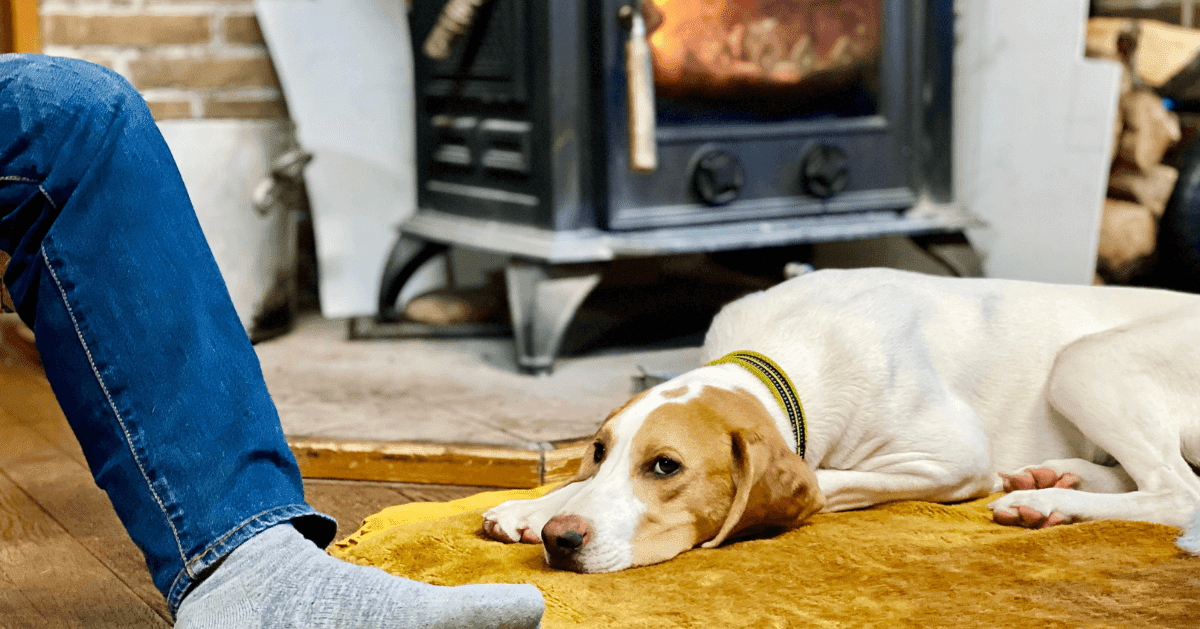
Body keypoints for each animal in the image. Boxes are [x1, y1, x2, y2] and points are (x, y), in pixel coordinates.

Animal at [477, 267, 1200, 571]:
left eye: (665, 467)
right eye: (600, 449)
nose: (562, 539)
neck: (784, 354)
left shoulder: (952, 457)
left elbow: (824, 480)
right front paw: (534, 505)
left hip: (1084, 362)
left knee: (1177, 491)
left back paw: (1050, 498)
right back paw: (1047, 484)